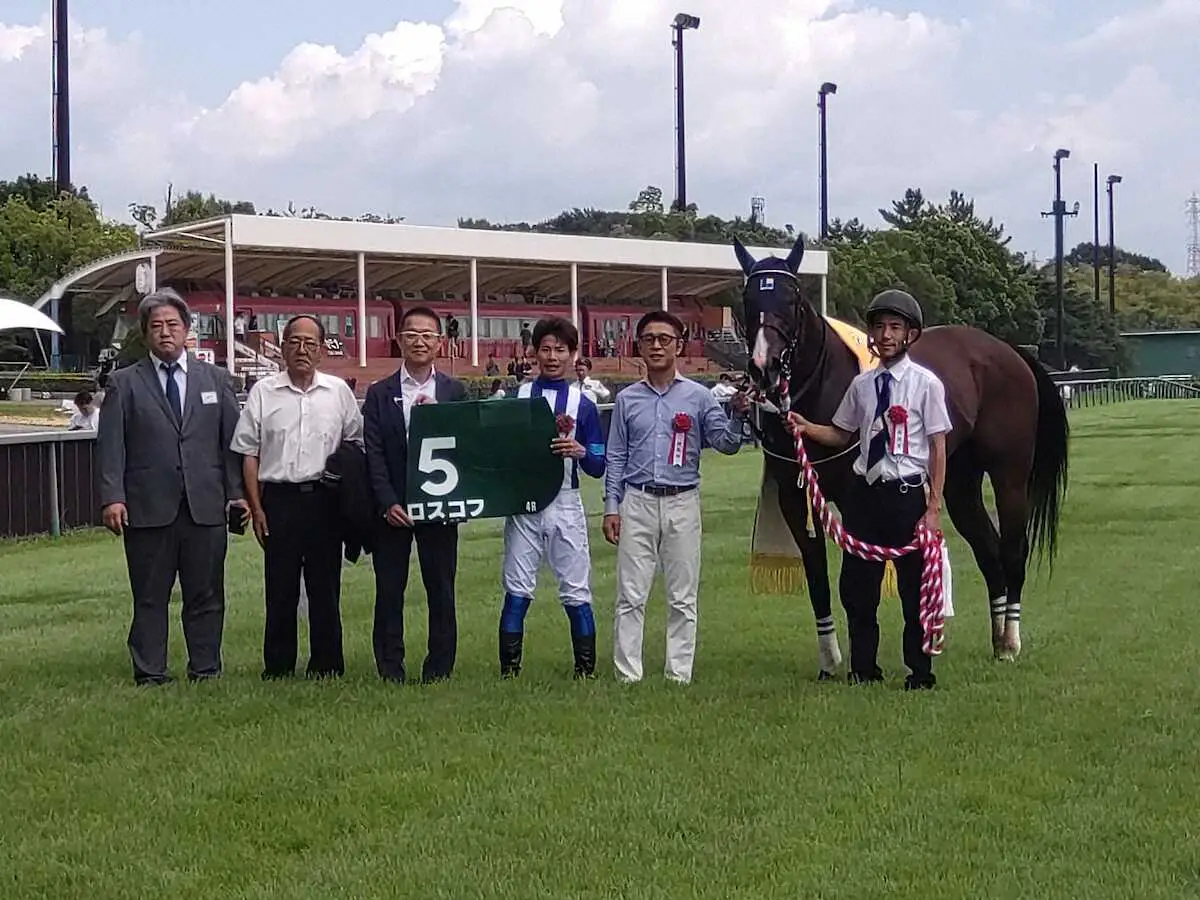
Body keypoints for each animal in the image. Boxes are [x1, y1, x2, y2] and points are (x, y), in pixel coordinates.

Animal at [729, 236, 1070, 681]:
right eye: (748, 298)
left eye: (792, 298)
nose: (763, 367)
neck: (825, 384)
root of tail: (1008, 351)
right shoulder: (794, 497)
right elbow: (817, 575)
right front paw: (830, 660)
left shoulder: (856, 498)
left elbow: (854, 579)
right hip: (959, 483)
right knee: (988, 549)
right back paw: (997, 638)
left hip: (1010, 474)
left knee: (1012, 549)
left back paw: (1010, 640)